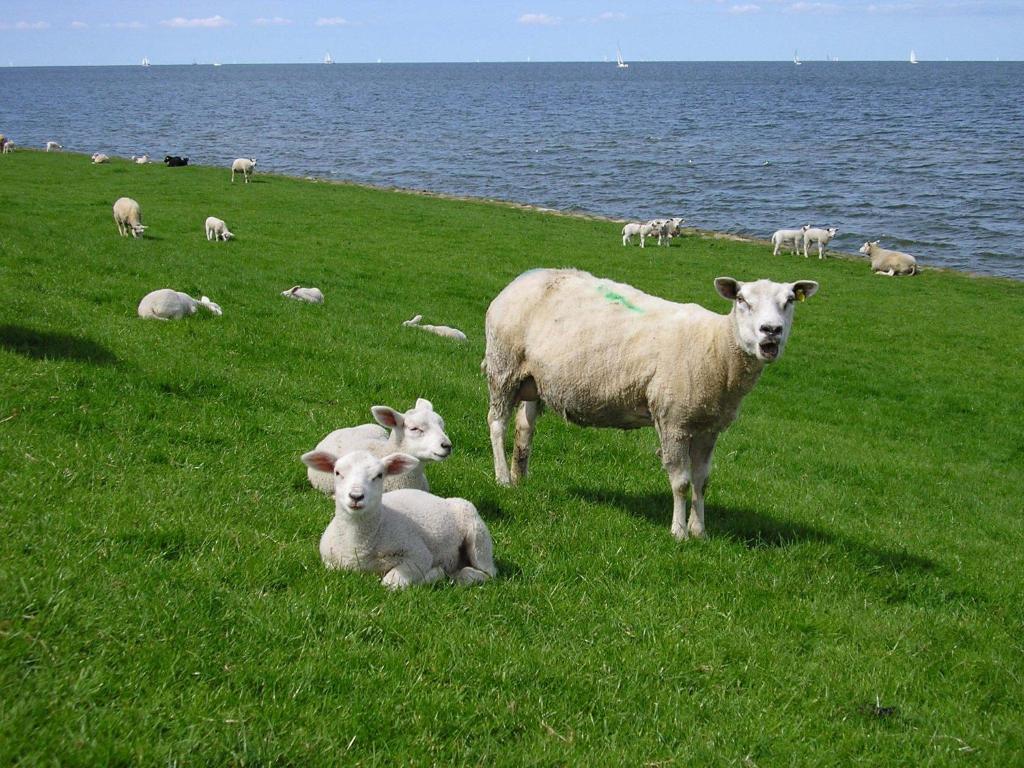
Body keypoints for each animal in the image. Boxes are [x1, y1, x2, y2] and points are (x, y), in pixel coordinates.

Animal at [301, 450, 497, 589]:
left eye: (379, 475)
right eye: (337, 472)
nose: (356, 496)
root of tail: (443, 499)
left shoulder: (418, 554)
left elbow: (390, 584)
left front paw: (434, 574)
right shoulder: (330, 564)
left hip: (478, 540)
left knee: (487, 573)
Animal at [483, 270, 819, 540]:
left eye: (790, 300)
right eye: (741, 299)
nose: (771, 330)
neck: (717, 349)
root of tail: (522, 278)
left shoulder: (708, 427)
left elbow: (702, 481)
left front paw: (700, 531)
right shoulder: (674, 420)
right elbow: (681, 482)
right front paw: (679, 532)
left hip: (535, 380)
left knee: (524, 428)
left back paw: (520, 477)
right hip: (503, 366)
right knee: (497, 424)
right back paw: (502, 479)